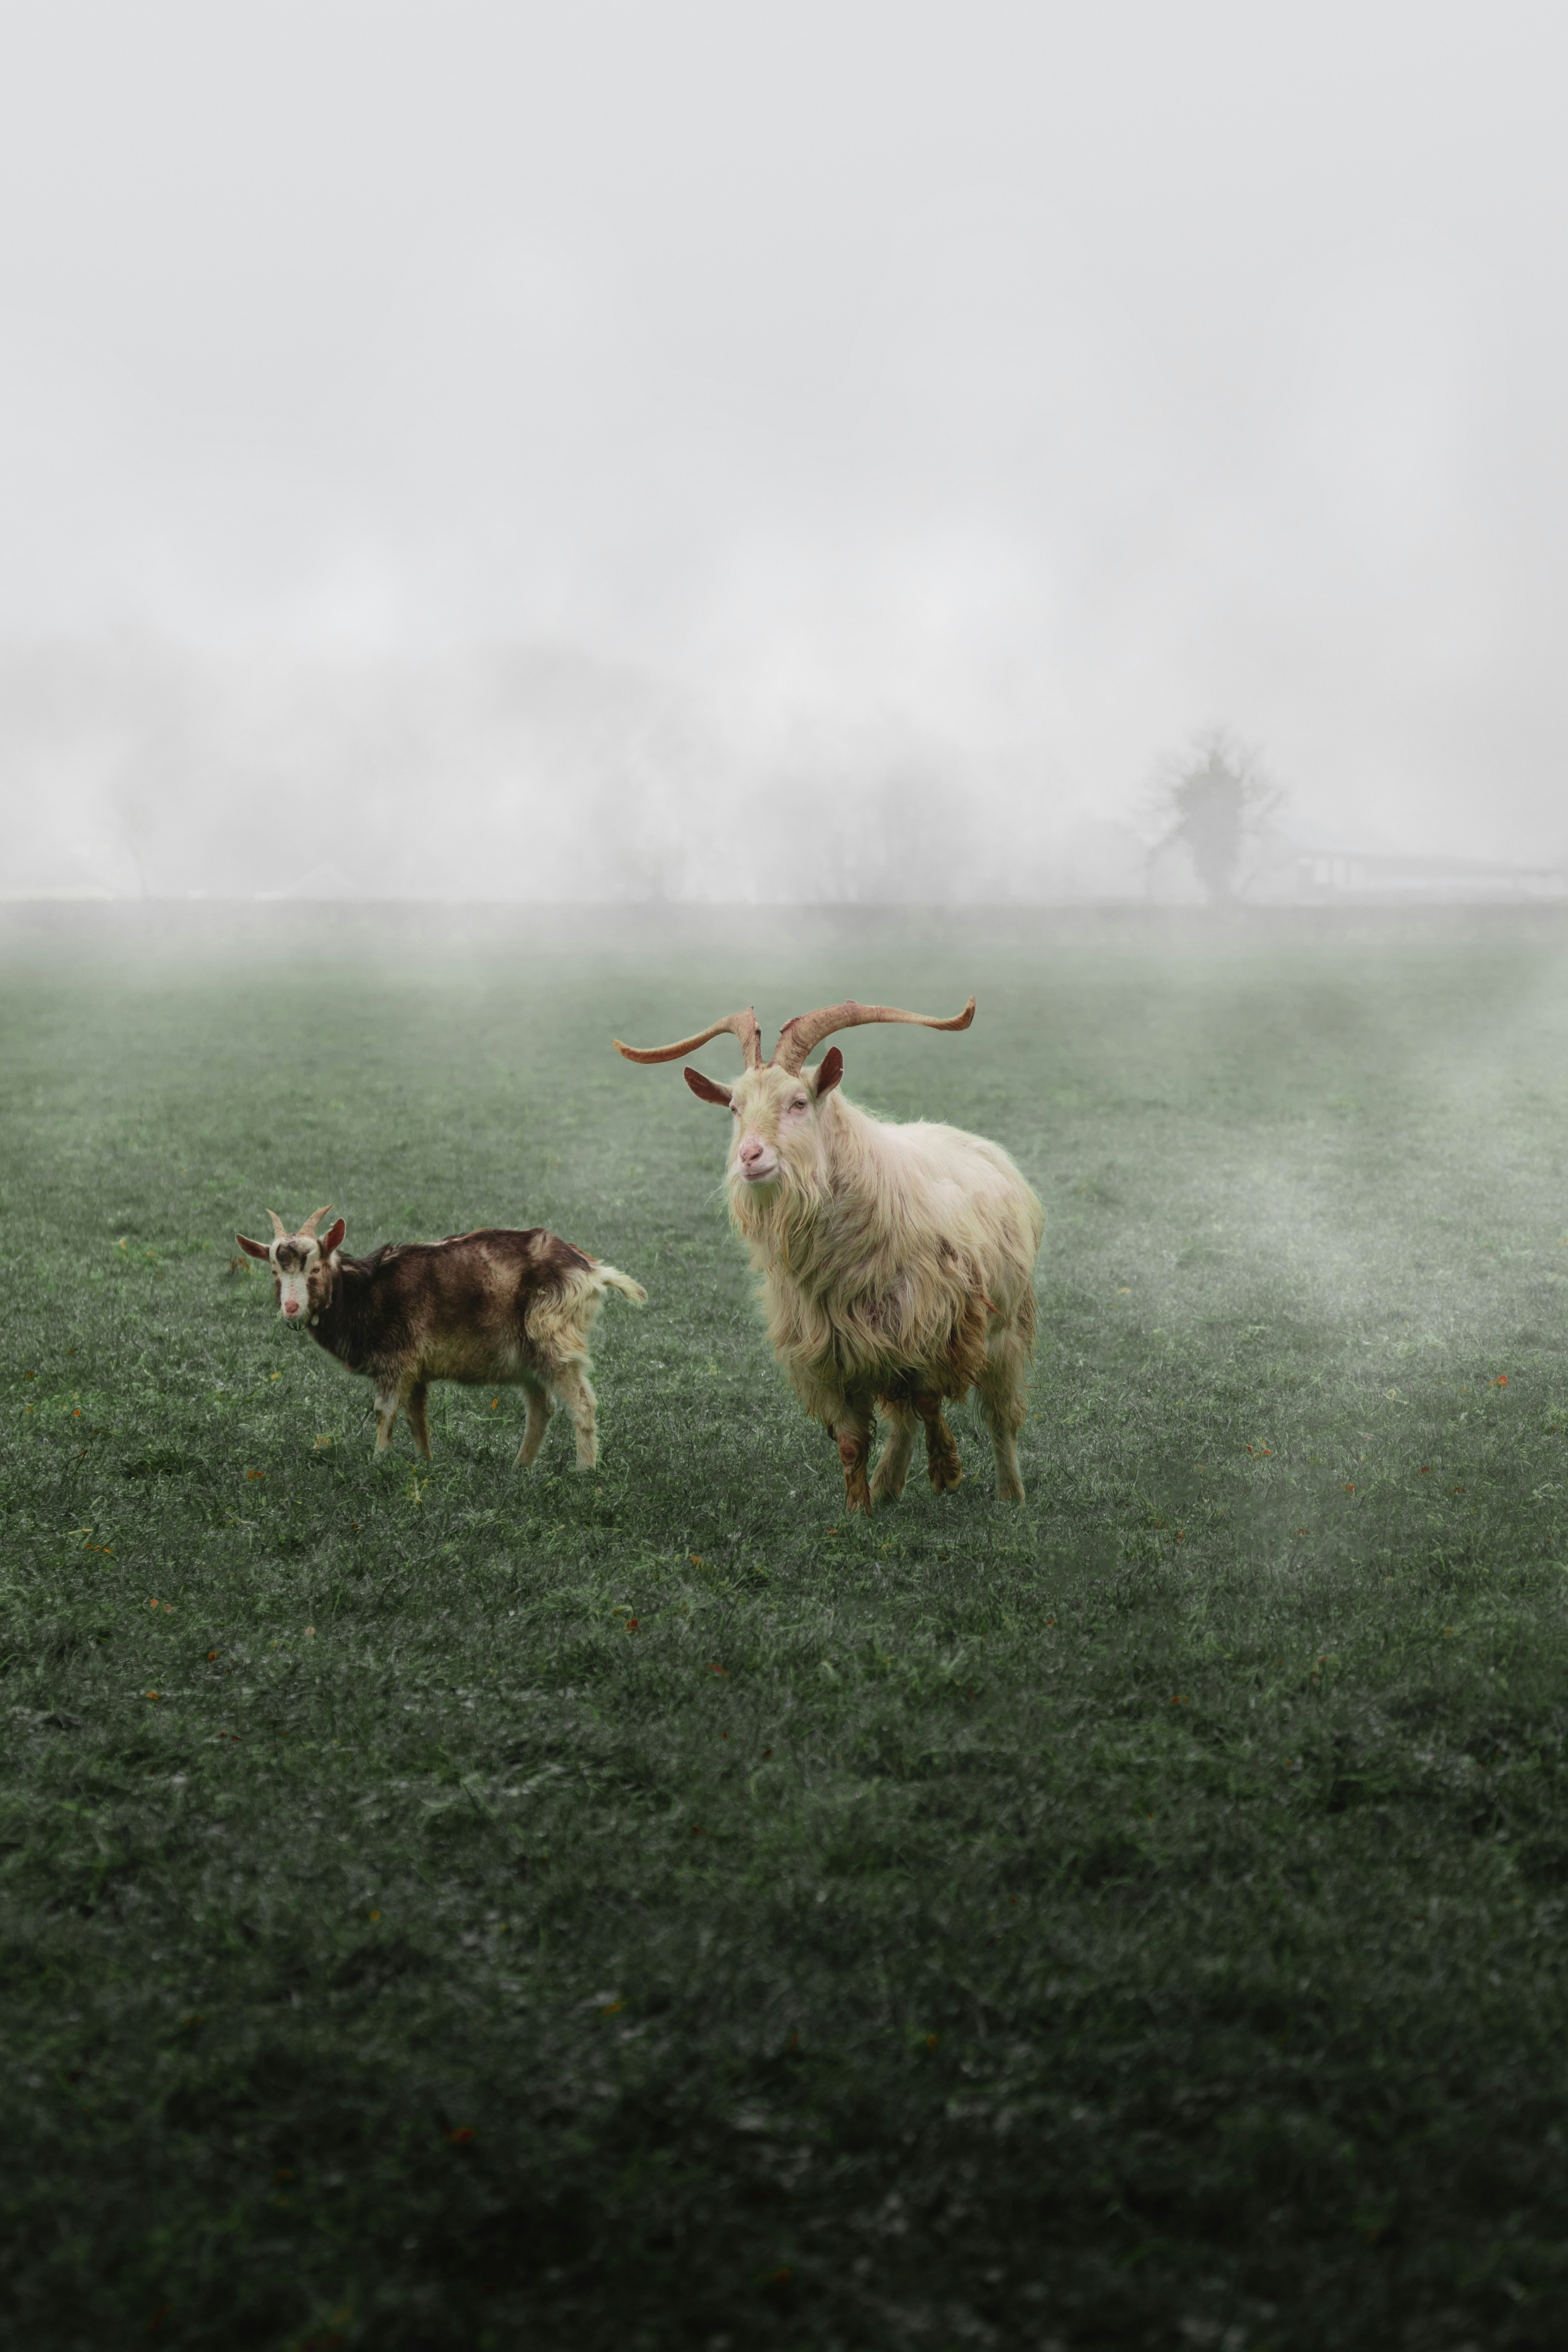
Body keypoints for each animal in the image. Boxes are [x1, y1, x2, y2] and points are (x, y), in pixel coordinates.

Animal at [235, 1205, 647, 1467]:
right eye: (274, 1272)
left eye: (316, 1268)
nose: (291, 1308)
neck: (363, 1290)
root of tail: (590, 1269)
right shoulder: (416, 1369)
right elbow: (417, 1417)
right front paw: (425, 1462)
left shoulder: (398, 1359)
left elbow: (385, 1411)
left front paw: (378, 1462)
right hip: (530, 1356)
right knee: (541, 1408)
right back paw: (520, 1468)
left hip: (554, 1339)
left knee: (582, 1403)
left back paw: (584, 1471)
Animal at [613, 998, 1042, 1513]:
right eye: (735, 1108)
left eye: (798, 1103)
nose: (749, 1156)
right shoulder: (830, 1353)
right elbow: (852, 1441)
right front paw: (859, 1511)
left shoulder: (934, 1324)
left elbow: (927, 1399)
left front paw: (947, 1470)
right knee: (902, 1420)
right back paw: (887, 1485)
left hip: (1005, 1330)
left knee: (998, 1418)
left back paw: (1011, 1496)